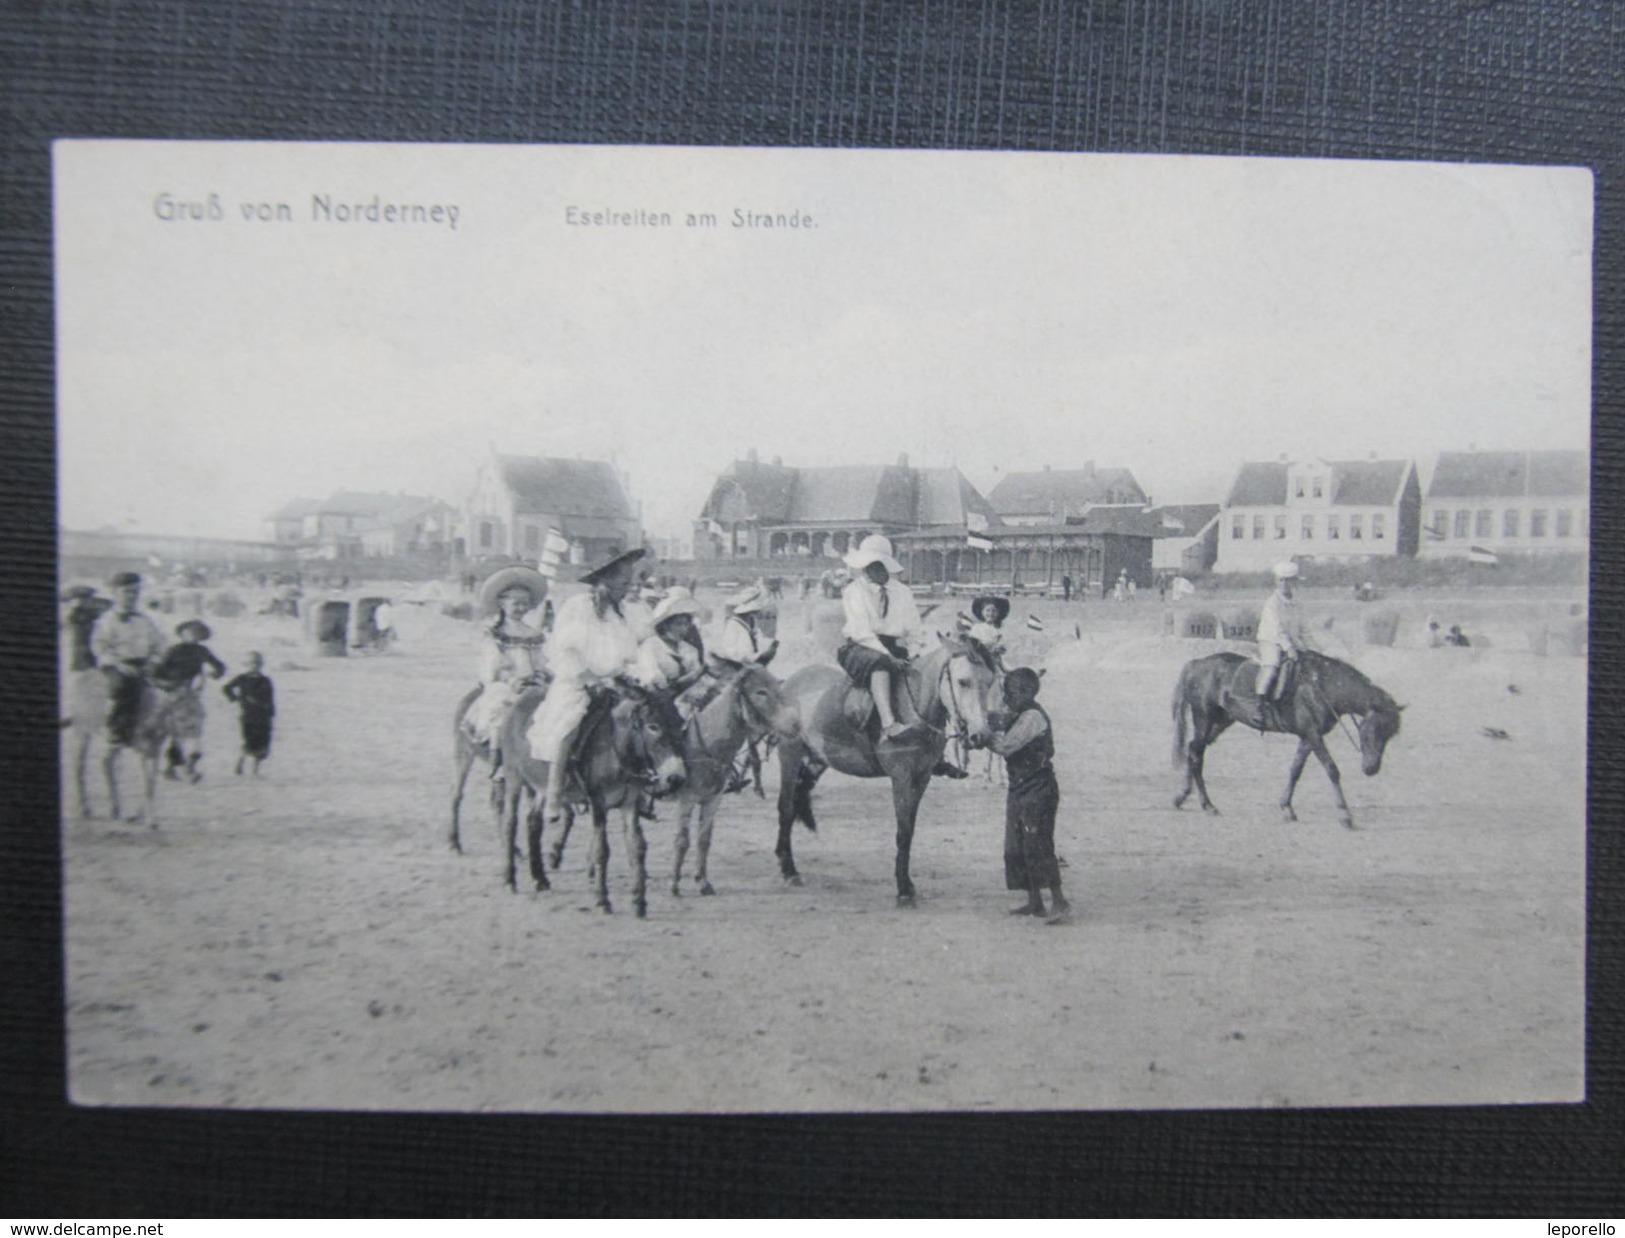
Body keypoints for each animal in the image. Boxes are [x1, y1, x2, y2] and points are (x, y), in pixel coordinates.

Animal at [767, 640, 994, 903]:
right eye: (962, 681)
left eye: (989, 682)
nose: (981, 735)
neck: (913, 709)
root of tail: (789, 682)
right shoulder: (901, 777)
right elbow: (903, 831)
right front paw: (903, 891)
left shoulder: (922, 777)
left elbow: (910, 830)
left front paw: (908, 884)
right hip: (790, 754)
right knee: (786, 807)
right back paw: (789, 871)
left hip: (817, 760)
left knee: (796, 800)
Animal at [1176, 646, 1404, 828]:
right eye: (1374, 729)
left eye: (1390, 734)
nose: (1371, 768)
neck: (1321, 685)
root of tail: (1195, 664)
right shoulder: (1313, 735)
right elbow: (1332, 769)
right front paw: (1345, 815)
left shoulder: (1307, 737)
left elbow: (1295, 770)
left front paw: (1286, 808)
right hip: (1204, 718)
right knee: (1195, 753)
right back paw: (1207, 805)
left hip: (1222, 721)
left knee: (1194, 750)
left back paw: (1183, 796)